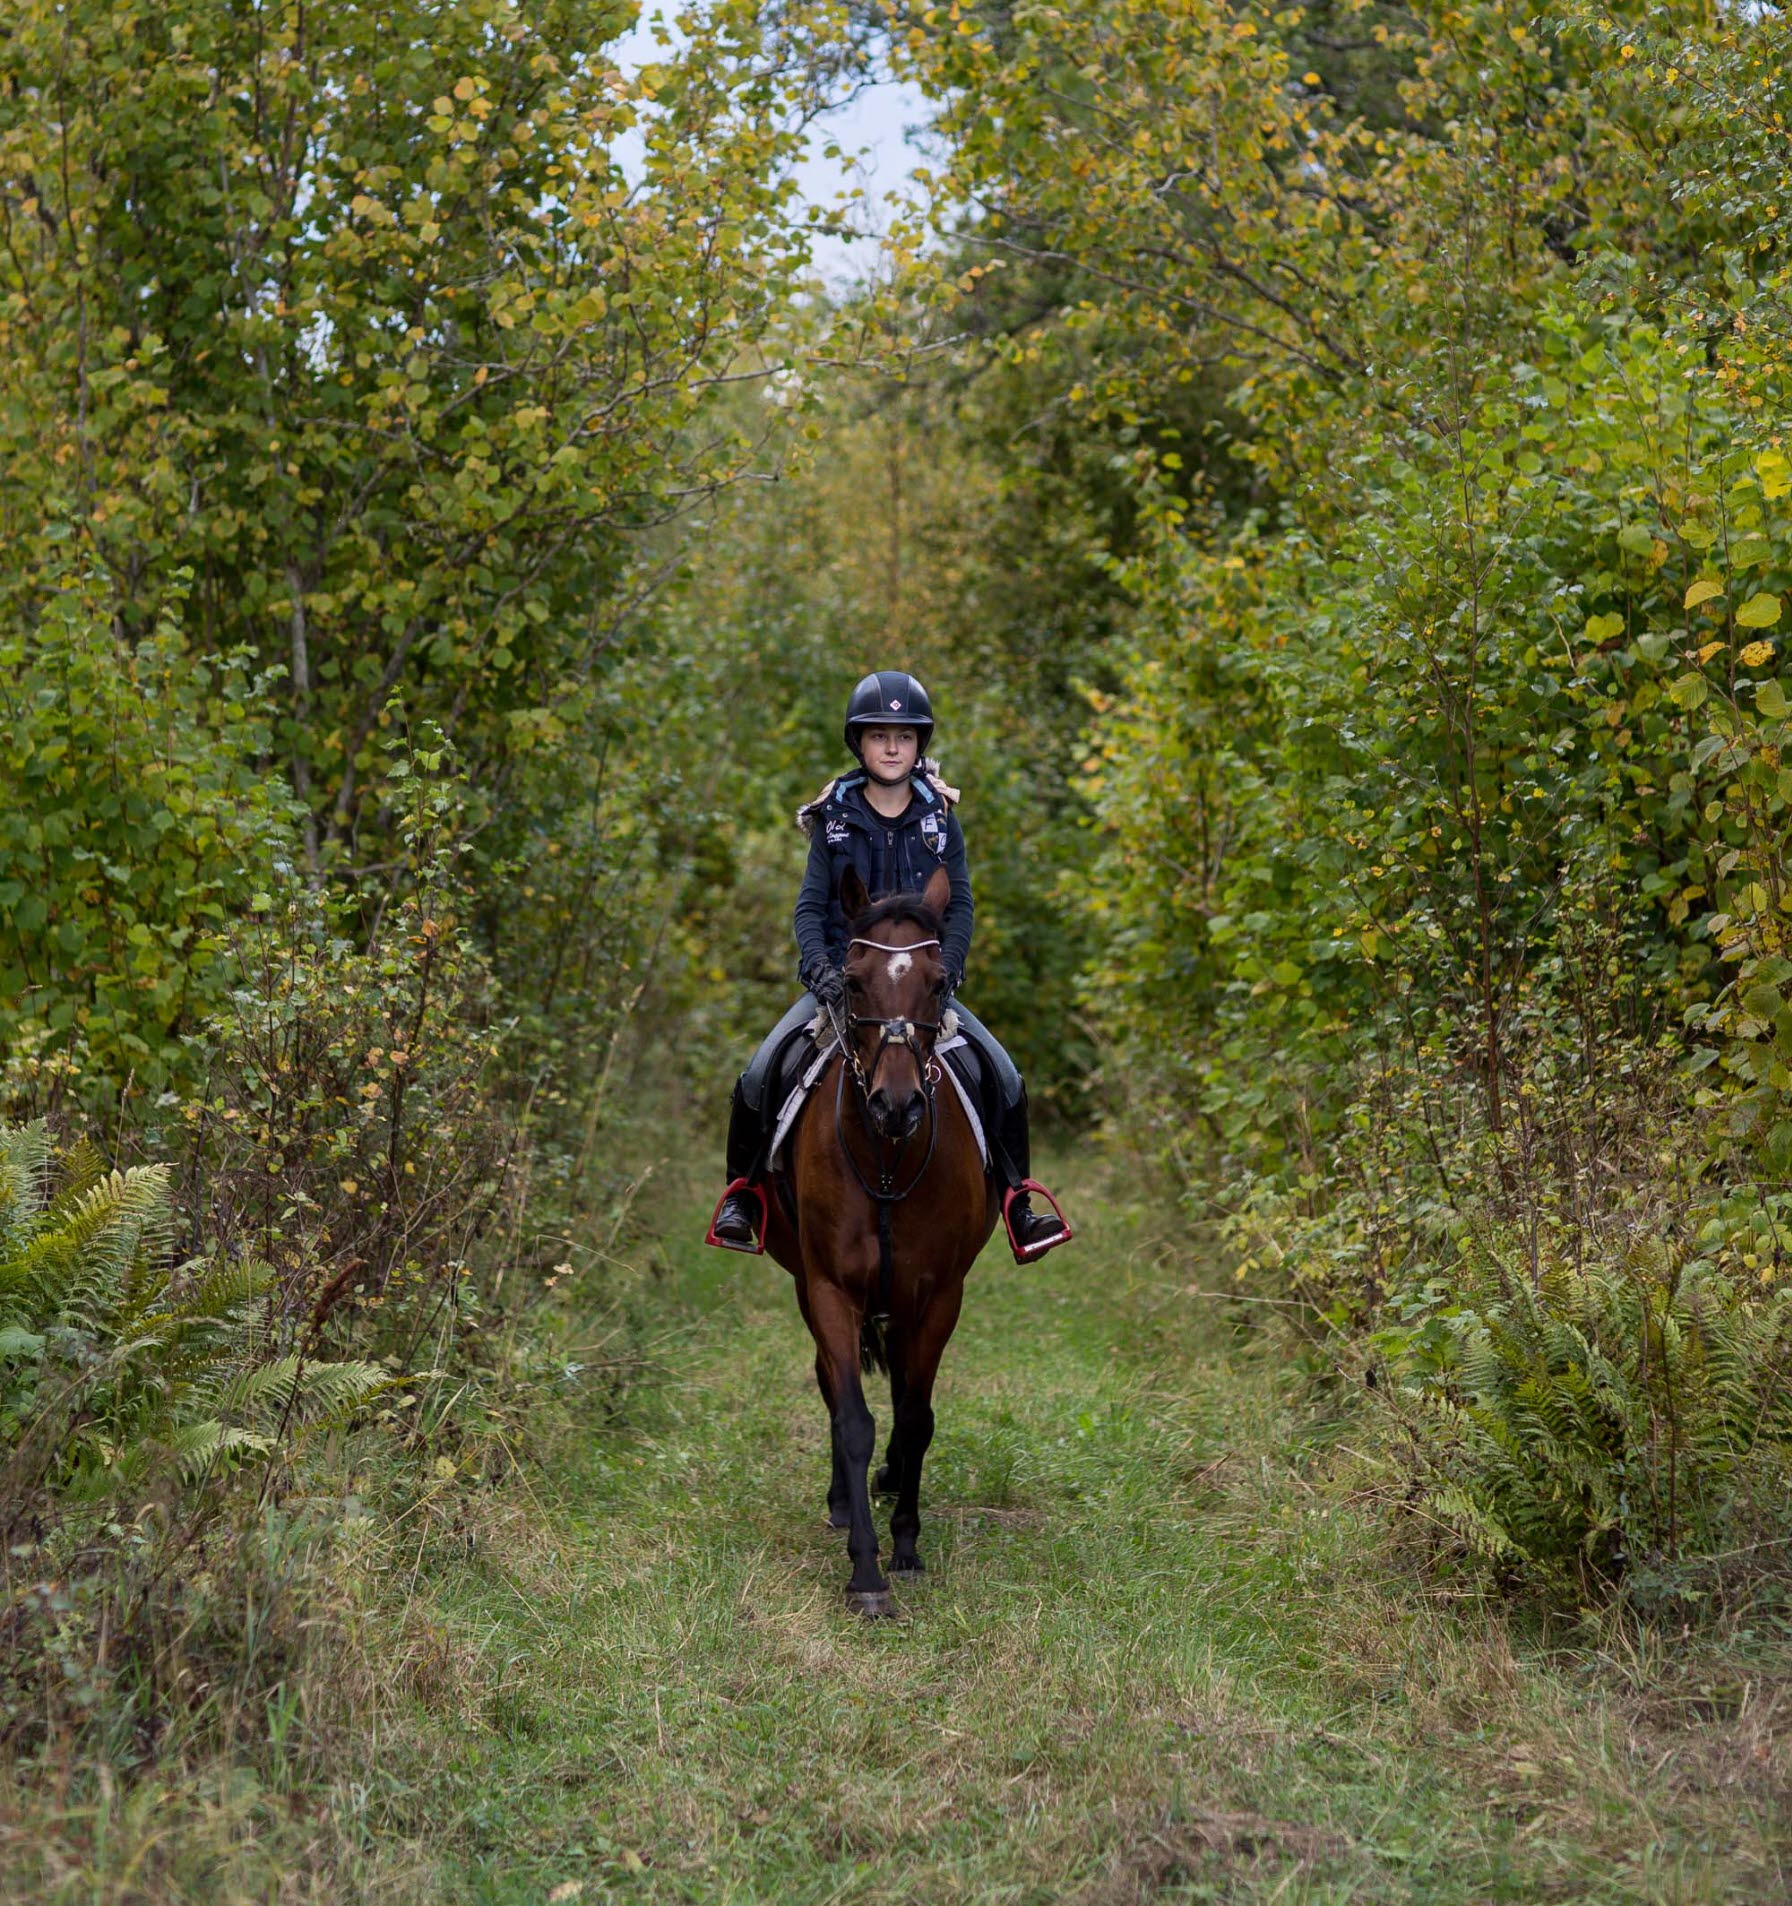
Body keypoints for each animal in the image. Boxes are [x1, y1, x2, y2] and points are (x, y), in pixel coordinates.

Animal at [761, 863, 996, 1617]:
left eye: (937, 981)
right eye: (854, 980)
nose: (897, 1106)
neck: (889, 1158)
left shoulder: (938, 1295)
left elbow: (915, 1416)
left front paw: (907, 1544)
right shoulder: (830, 1287)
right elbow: (853, 1418)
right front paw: (866, 1570)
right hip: (808, 1285)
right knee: (832, 1384)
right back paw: (845, 1501)